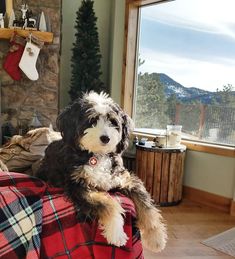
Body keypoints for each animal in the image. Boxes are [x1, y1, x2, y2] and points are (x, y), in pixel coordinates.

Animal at [35, 91, 166, 252]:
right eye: (92, 120)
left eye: (113, 122)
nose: (105, 138)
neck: (98, 155)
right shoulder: (78, 186)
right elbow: (108, 204)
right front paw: (116, 233)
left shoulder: (126, 179)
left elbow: (146, 205)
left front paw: (156, 238)